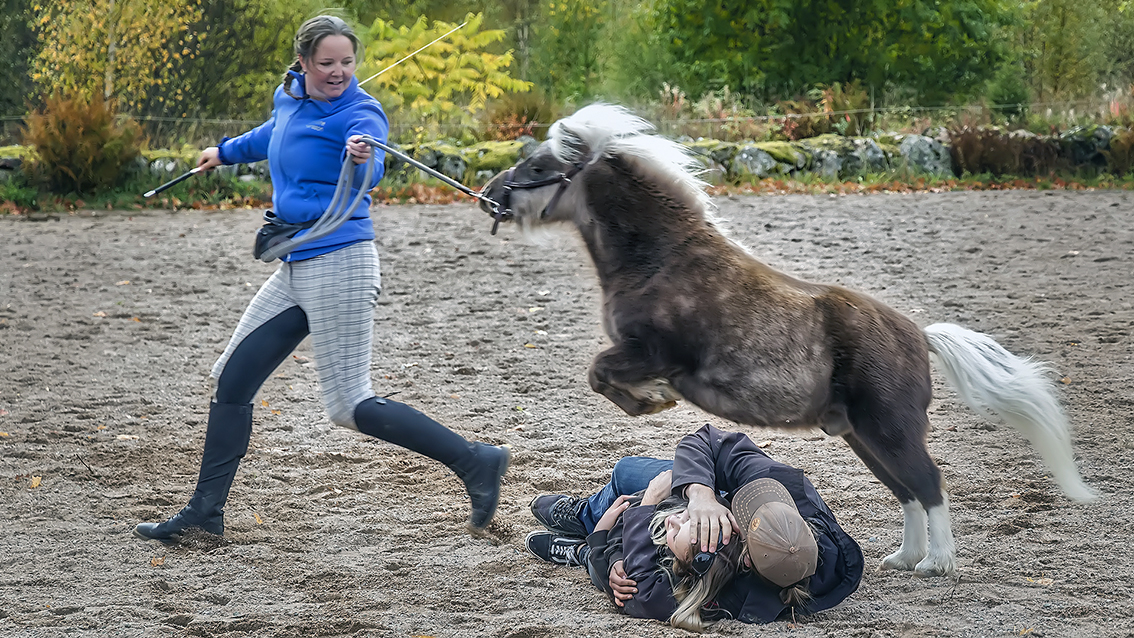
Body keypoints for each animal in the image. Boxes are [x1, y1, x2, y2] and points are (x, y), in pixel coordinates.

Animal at [478, 103, 1097, 577]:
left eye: (539, 165)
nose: (488, 195)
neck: (661, 258)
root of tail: (919, 335)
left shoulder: (655, 351)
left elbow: (601, 372)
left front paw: (652, 399)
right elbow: (601, 374)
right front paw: (651, 399)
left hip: (889, 430)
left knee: (930, 483)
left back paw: (937, 562)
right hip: (863, 437)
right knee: (907, 492)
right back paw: (904, 558)